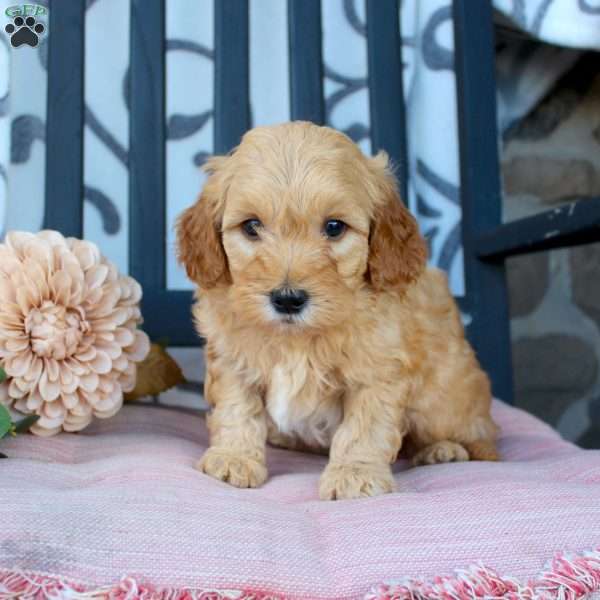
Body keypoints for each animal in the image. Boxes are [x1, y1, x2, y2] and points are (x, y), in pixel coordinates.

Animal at [176, 119, 500, 500]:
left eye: (334, 227)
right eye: (251, 226)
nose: (287, 299)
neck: (296, 340)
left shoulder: (378, 370)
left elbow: (364, 425)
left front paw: (355, 473)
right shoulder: (232, 360)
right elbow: (237, 409)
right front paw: (234, 457)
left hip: (444, 400)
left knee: (480, 439)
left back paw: (444, 450)